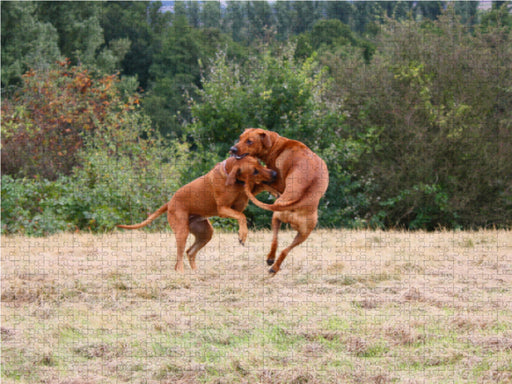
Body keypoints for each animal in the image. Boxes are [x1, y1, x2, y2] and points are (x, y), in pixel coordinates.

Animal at [116, 154, 276, 272]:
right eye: (254, 171)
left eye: (260, 163)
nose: (274, 173)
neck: (229, 172)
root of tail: (170, 202)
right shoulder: (223, 209)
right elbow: (242, 216)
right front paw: (242, 235)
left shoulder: (239, 203)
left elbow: (247, 201)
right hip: (182, 231)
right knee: (179, 258)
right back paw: (181, 272)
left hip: (205, 232)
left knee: (190, 252)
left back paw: (195, 272)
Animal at [231, 130, 330, 276]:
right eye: (240, 138)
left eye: (250, 141)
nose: (232, 149)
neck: (275, 144)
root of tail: (297, 201)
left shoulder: (276, 180)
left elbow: (263, 181)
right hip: (303, 232)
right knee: (284, 248)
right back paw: (274, 265)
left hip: (276, 215)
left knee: (275, 240)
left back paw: (271, 259)